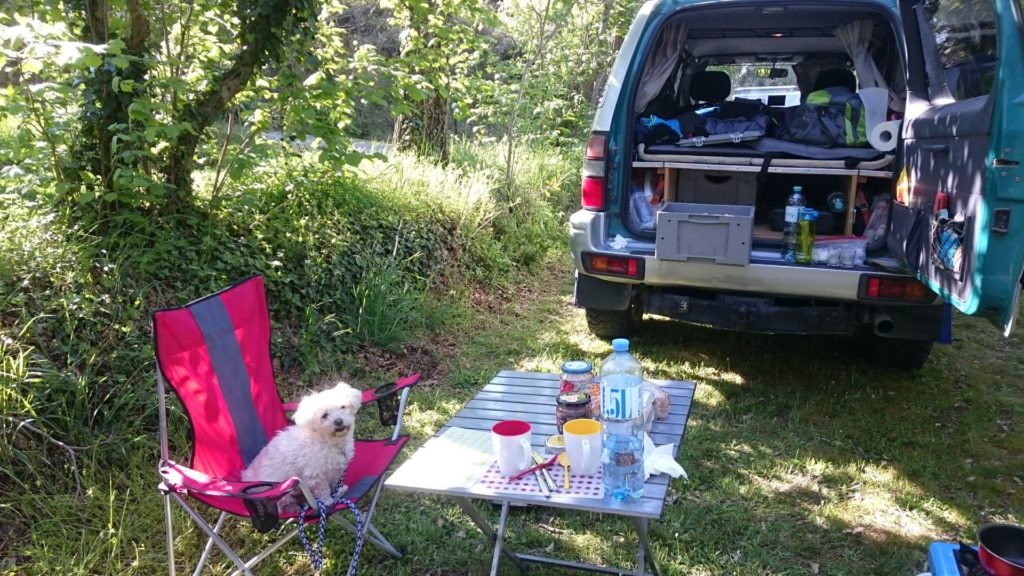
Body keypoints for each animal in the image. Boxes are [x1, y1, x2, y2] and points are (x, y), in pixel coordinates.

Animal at [242, 381, 364, 510]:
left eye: (343, 407)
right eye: (324, 415)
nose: (338, 421)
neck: (328, 441)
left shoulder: (336, 470)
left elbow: (336, 484)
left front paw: (339, 491)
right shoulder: (315, 476)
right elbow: (323, 491)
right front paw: (328, 502)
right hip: (280, 491)